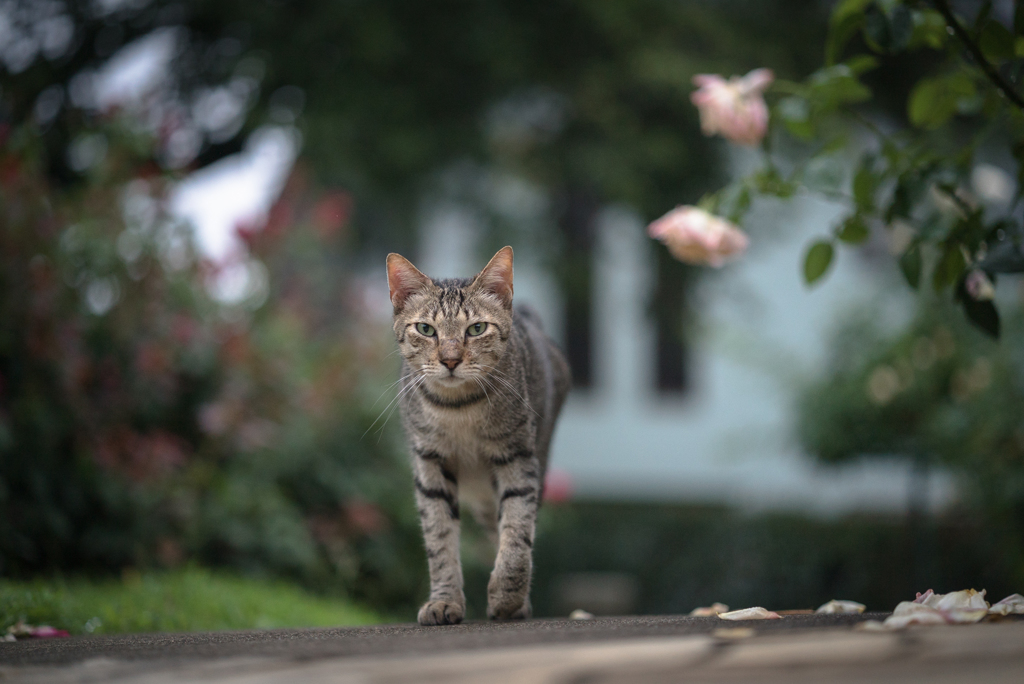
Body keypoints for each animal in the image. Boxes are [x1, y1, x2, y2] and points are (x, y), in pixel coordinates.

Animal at [387, 246, 573, 626]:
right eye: (426, 329)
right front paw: (444, 601)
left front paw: (507, 596)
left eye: (476, 328)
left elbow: (517, 532)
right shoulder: (429, 464)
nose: (450, 360)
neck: (458, 409)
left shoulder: (517, 456)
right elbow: (439, 539)